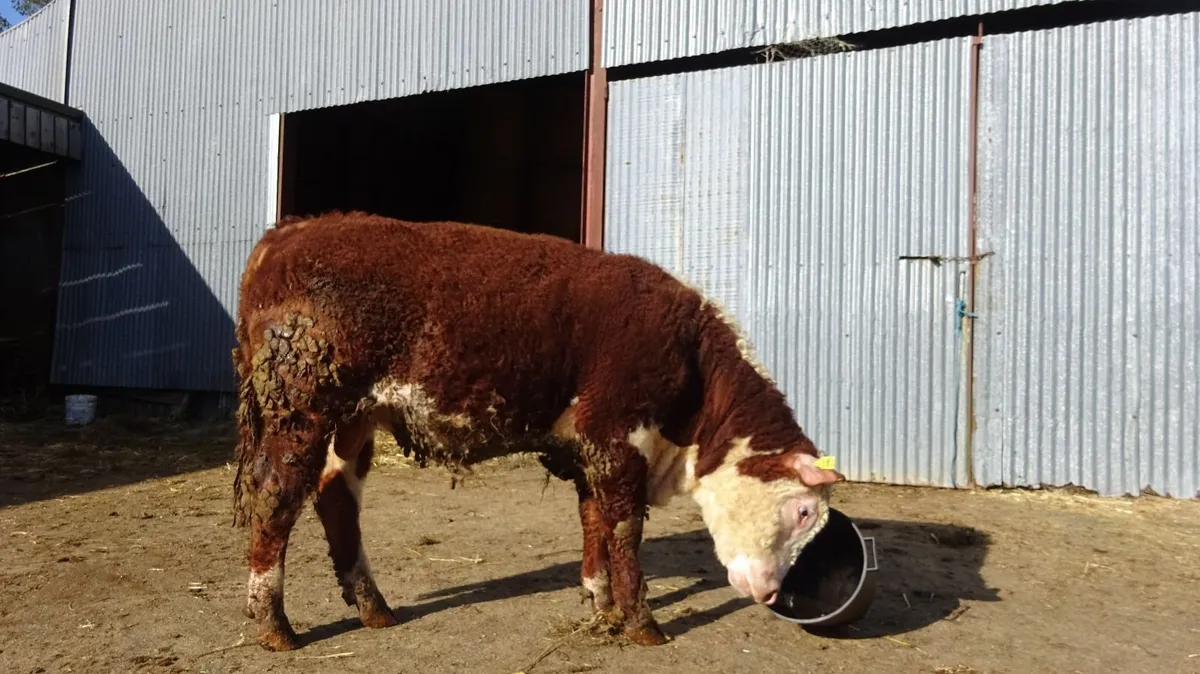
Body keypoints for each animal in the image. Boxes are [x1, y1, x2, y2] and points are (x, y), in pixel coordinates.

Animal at [231, 211, 845, 651]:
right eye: (802, 512)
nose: (771, 593)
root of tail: (291, 232)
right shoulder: (618, 434)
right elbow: (625, 528)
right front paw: (642, 622)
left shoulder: (587, 447)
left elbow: (594, 519)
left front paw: (601, 603)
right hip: (302, 409)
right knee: (276, 497)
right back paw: (273, 624)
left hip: (352, 419)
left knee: (336, 499)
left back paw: (373, 608)